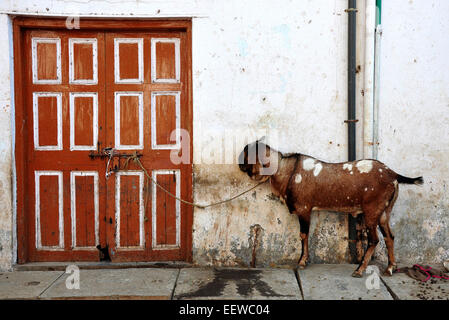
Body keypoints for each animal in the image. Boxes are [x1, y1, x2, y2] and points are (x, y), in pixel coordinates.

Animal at [238, 140, 424, 278]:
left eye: (247, 154)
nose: (239, 164)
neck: (287, 171)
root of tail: (393, 174)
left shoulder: (304, 209)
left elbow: (303, 235)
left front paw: (302, 262)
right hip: (385, 211)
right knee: (389, 237)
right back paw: (390, 268)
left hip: (372, 210)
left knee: (374, 239)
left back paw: (360, 270)